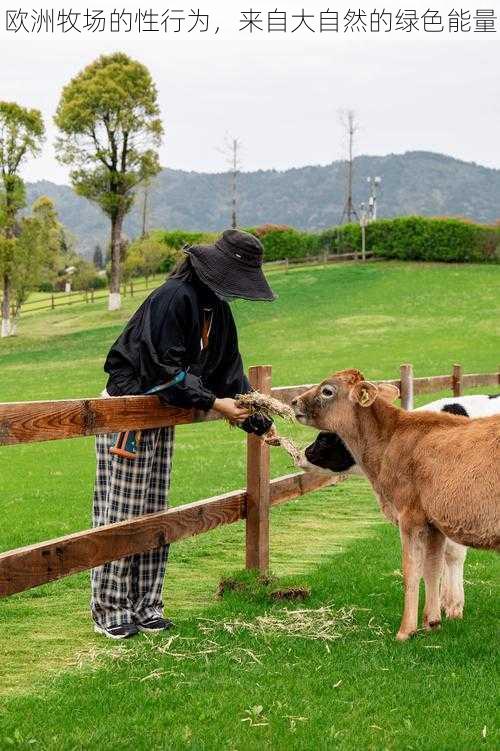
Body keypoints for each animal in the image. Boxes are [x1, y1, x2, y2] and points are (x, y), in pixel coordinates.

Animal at [292, 370, 498, 640]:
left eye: (327, 390)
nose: (294, 402)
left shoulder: (412, 517)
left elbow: (413, 570)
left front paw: (408, 629)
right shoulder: (434, 523)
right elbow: (432, 568)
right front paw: (433, 621)